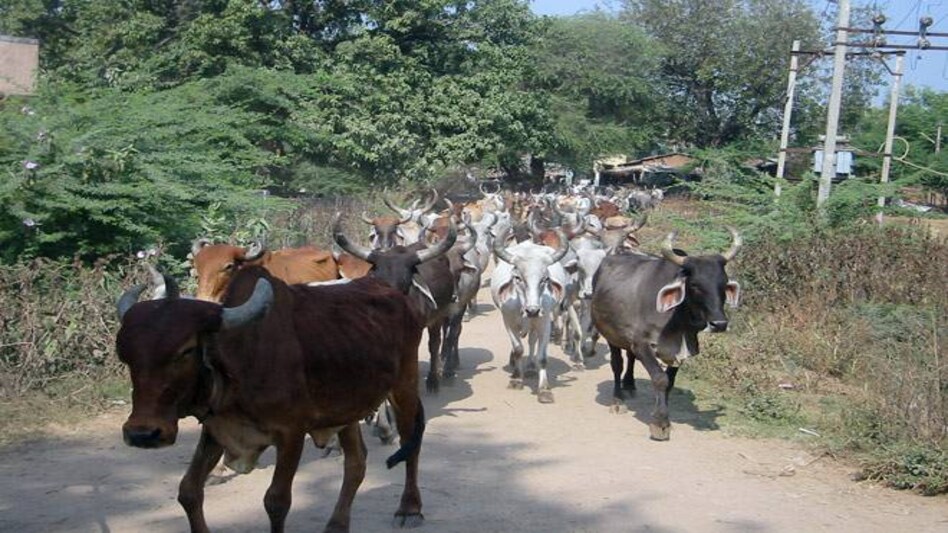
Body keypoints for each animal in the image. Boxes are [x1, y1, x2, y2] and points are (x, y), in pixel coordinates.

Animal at [115, 267, 427, 532]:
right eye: (125, 354)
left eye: (186, 350)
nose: (143, 434)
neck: (239, 358)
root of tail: (396, 294)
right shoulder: (217, 429)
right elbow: (189, 491)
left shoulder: (291, 432)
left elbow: (276, 501)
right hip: (346, 407)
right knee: (356, 463)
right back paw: (337, 525)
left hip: (404, 386)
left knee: (410, 443)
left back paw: (409, 509)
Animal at [490, 226, 570, 403]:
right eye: (517, 278)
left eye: (545, 279)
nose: (533, 310)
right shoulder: (508, 322)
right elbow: (518, 349)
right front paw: (516, 379)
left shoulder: (544, 323)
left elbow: (542, 357)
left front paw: (544, 389)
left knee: (532, 341)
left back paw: (531, 367)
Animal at [591, 228, 742, 441]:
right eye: (695, 285)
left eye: (724, 284)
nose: (719, 324)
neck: (677, 319)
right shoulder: (642, 344)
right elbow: (660, 379)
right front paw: (660, 423)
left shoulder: (682, 349)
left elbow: (670, 382)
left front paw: (666, 416)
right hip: (611, 333)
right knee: (617, 364)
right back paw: (618, 400)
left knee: (630, 357)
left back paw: (629, 384)